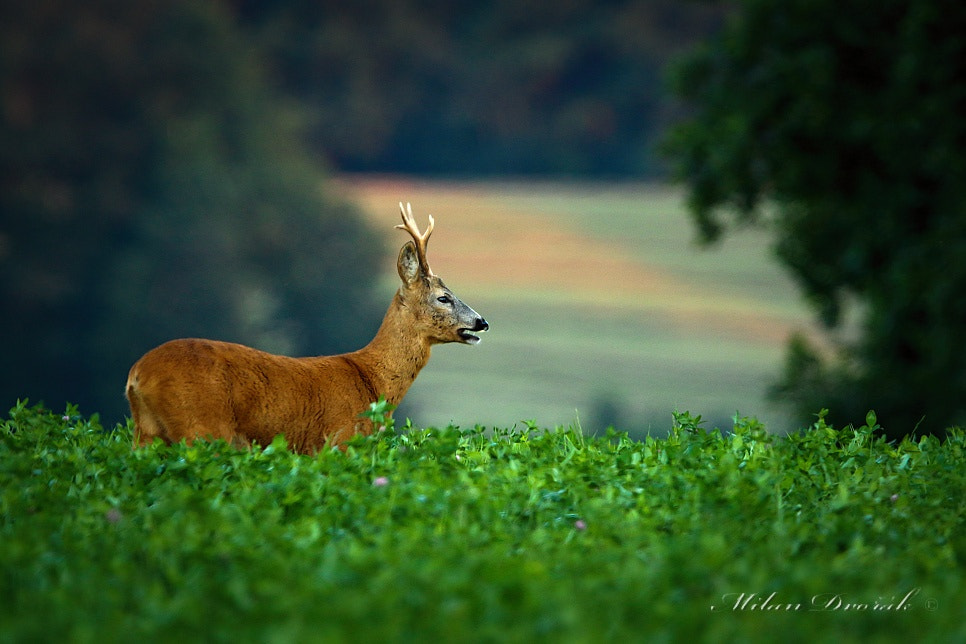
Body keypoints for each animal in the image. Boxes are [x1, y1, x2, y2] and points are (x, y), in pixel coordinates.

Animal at [126, 203, 492, 452]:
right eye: (444, 298)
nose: (482, 322)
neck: (372, 380)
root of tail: (137, 375)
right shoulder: (340, 439)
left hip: (147, 433)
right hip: (201, 427)